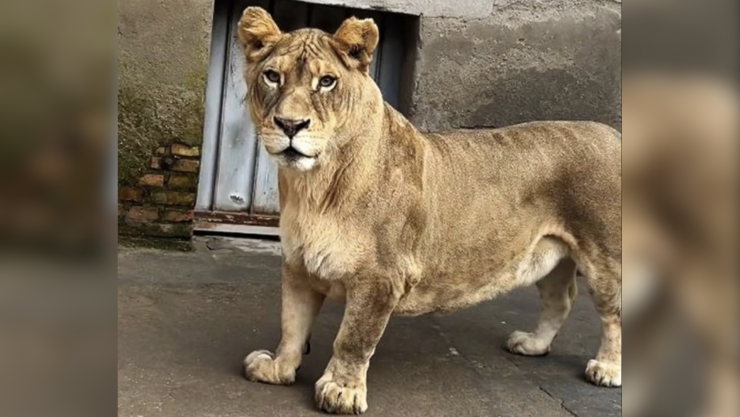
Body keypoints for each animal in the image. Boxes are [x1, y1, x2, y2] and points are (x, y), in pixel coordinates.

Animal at [237, 7, 622, 414]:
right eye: (272, 76)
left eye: (326, 82)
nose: (290, 124)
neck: (313, 185)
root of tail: (613, 134)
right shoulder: (298, 265)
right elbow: (291, 325)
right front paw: (278, 369)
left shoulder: (381, 277)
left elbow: (353, 339)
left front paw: (341, 391)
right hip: (552, 255)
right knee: (560, 301)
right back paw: (533, 345)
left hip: (605, 258)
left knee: (614, 314)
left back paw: (608, 369)